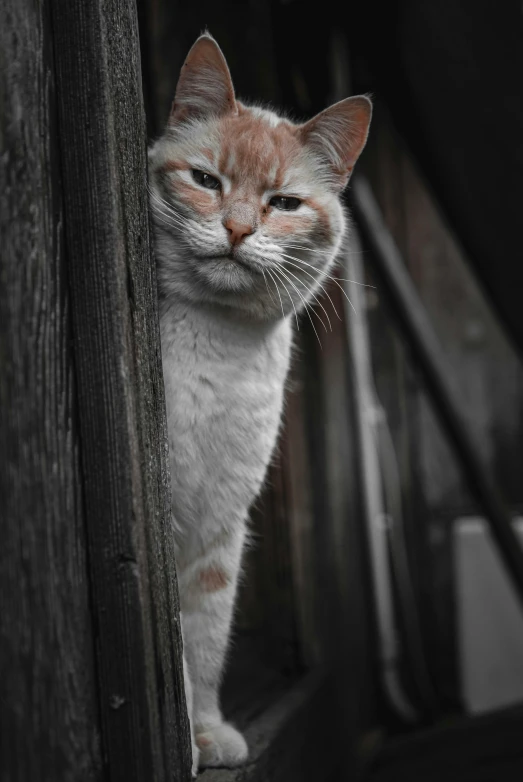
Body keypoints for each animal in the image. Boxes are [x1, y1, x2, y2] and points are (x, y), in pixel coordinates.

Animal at [145, 32, 370, 776]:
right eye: (207, 181)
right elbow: (180, 649)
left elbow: (205, 640)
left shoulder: (220, 527)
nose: (238, 229)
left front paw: (206, 731)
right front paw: (185, 743)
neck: (218, 348)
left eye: (284, 203)